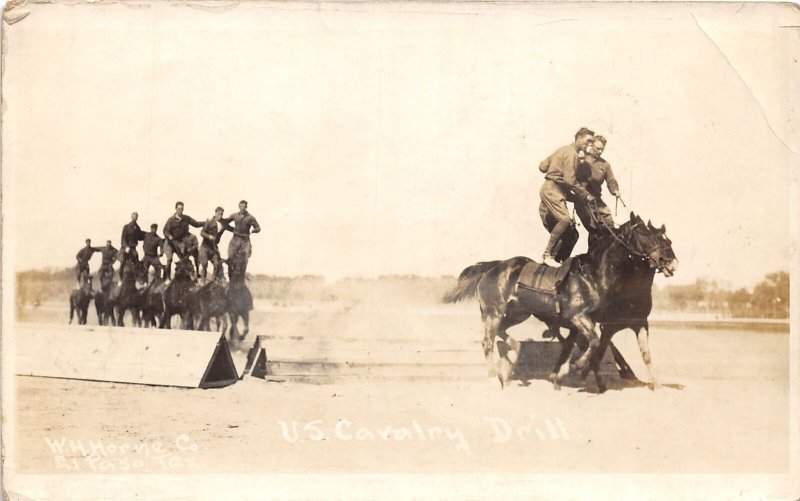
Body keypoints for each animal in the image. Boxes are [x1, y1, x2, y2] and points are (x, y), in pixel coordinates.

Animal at [440, 211, 680, 390]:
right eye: (645, 235)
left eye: (666, 239)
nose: (672, 262)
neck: (593, 275)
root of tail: (492, 267)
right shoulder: (579, 317)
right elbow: (593, 343)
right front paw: (575, 368)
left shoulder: (589, 322)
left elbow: (582, 346)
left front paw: (563, 373)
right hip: (494, 311)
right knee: (487, 342)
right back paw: (493, 376)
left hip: (518, 313)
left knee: (501, 333)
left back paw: (513, 356)